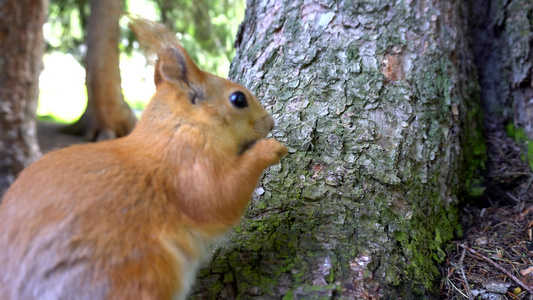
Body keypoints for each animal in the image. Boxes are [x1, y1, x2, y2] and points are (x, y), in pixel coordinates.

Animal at [0, 19, 286, 300]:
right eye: (238, 99)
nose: (271, 123)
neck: (179, 128)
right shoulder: (187, 165)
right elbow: (217, 198)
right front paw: (270, 149)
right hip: (137, 274)